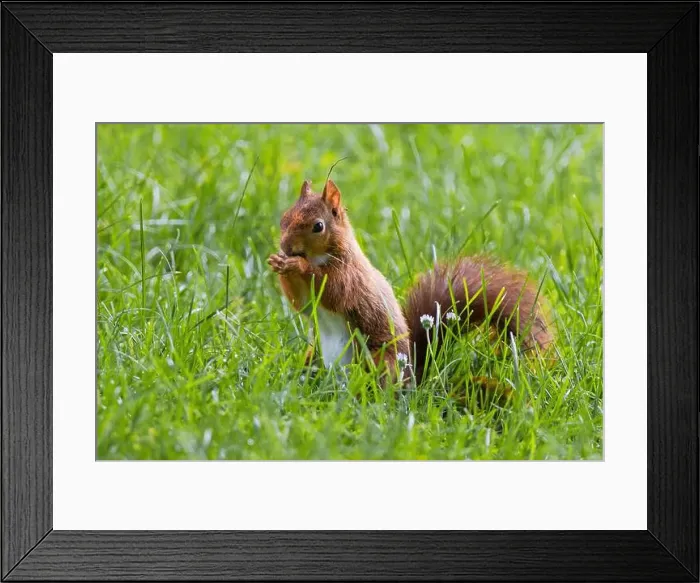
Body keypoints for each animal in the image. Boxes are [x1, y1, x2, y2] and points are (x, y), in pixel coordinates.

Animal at [267, 179, 553, 387]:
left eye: (318, 226)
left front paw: (296, 265)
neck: (321, 256)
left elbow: (331, 290)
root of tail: (413, 379)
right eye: (284, 218)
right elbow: (303, 305)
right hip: (314, 356)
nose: (286, 247)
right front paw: (279, 264)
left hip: (380, 359)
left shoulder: (349, 277)